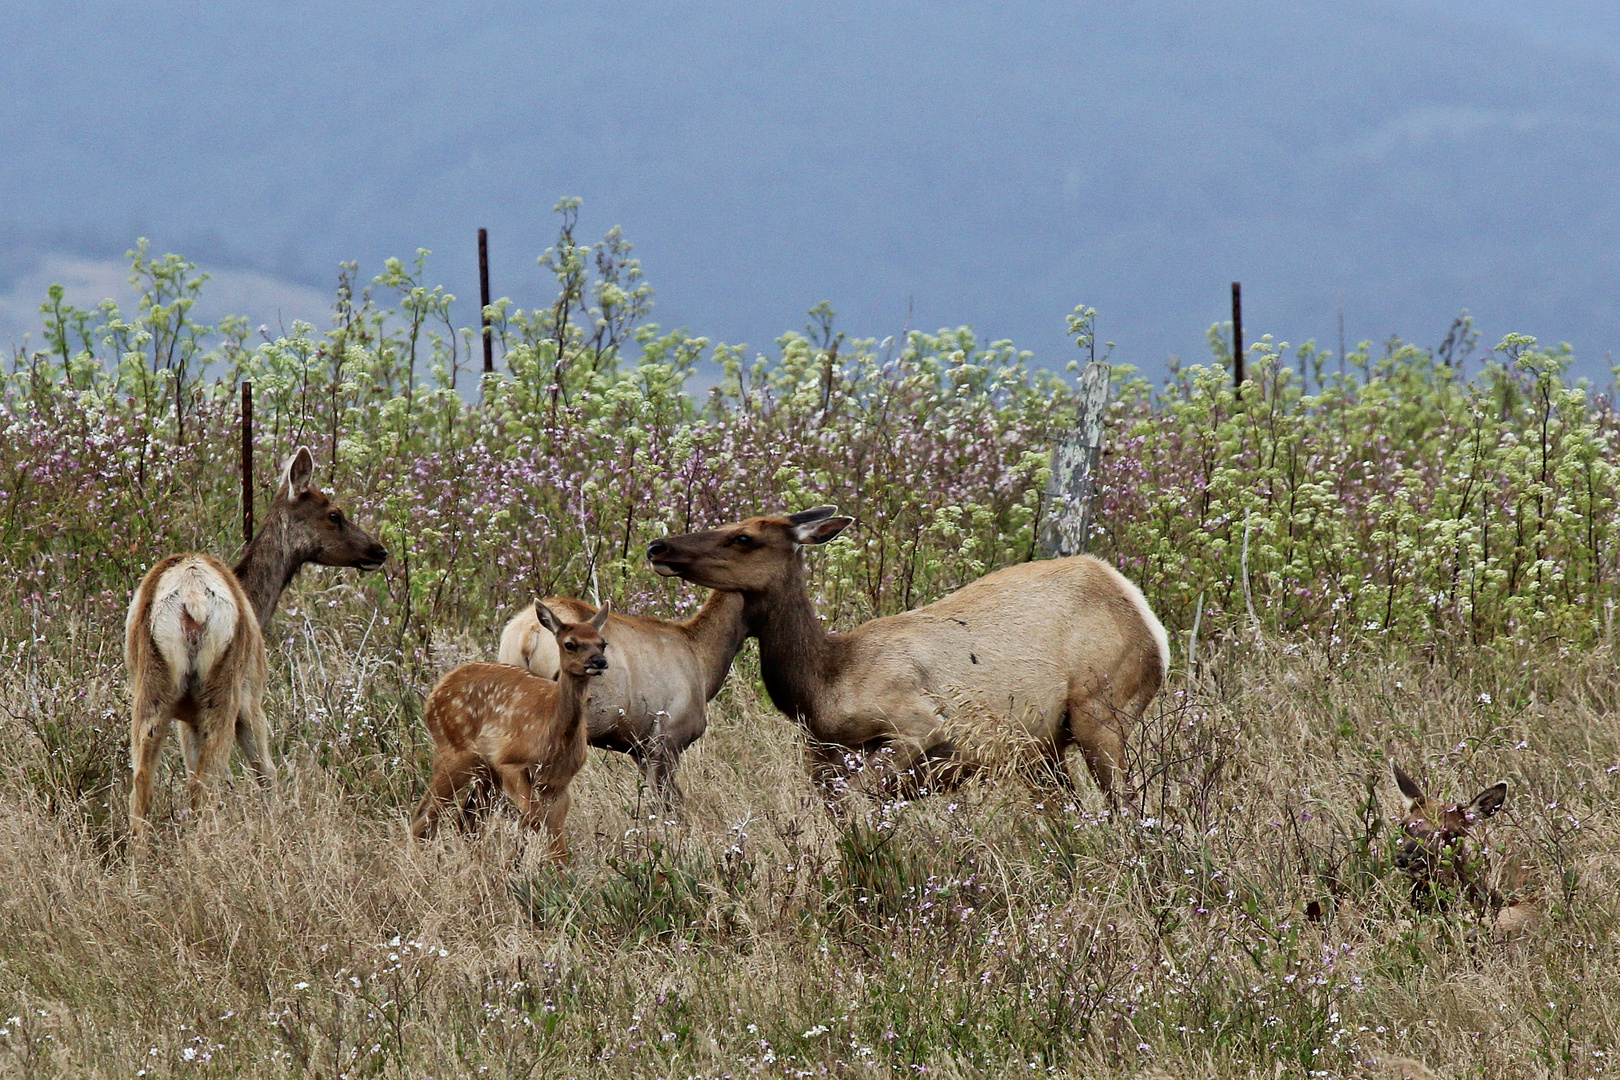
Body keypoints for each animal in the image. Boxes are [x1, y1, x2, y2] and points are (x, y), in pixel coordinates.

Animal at [123, 446, 388, 841]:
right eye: (334, 514)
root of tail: (191, 594)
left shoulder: (187, 717)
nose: (379, 550)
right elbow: (268, 774)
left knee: (142, 786)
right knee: (204, 786)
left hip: (151, 686)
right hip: (224, 686)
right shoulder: (253, 697)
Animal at [411, 599, 612, 861]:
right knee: (424, 817)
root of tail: (433, 695)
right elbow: (534, 819)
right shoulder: (510, 762)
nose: (599, 661)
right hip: (454, 754)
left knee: (465, 819)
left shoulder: (558, 784)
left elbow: (558, 846)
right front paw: (514, 862)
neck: (555, 736)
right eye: (570, 644)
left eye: (602, 642)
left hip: (484, 771)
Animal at [641, 508, 1166, 803]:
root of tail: (1149, 621)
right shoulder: (821, 765)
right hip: (1039, 748)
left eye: (744, 537)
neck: (819, 688)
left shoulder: (916, 722)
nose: (657, 545)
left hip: (1102, 710)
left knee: (1125, 808)